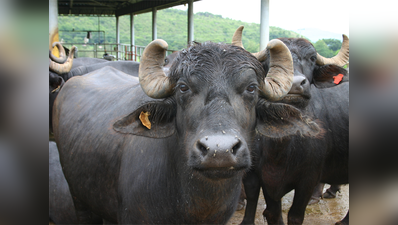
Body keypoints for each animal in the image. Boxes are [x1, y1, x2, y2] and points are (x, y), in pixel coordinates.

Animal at [233, 25, 348, 224]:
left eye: (312, 58)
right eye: (270, 60)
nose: (294, 84)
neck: (280, 148)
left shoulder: (308, 180)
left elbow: (295, 215)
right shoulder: (261, 178)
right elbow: (272, 213)